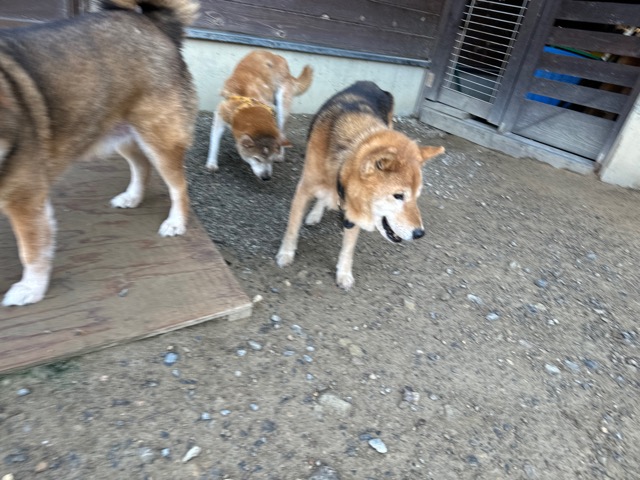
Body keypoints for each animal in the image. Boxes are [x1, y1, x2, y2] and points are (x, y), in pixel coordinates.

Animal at [0, 0, 199, 307]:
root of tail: (152, 23)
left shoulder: (26, 199)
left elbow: (32, 252)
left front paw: (30, 289)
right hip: (121, 134)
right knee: (142, 166)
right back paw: (132, 197)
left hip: (159, 139)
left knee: (178, 186)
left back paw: (176, 221)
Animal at [205, 50, 313, 181]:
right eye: (256, 159)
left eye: (271, 159)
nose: (266, 177)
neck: (247, 104)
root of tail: (277, 57)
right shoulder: (221, 114)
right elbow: (214, 144)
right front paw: (212, 163)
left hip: (282, 105)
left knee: (282, 130)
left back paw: (281, 152)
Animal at [276, 81, 445, 290]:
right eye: (398, 196)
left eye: (416, 196)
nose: (420, 233)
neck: (342, 163)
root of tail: (373, 85)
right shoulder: (304, 190)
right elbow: (292, 227)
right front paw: (285, 253)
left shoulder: (353, 210)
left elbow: (348, 248)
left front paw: (344, 273)